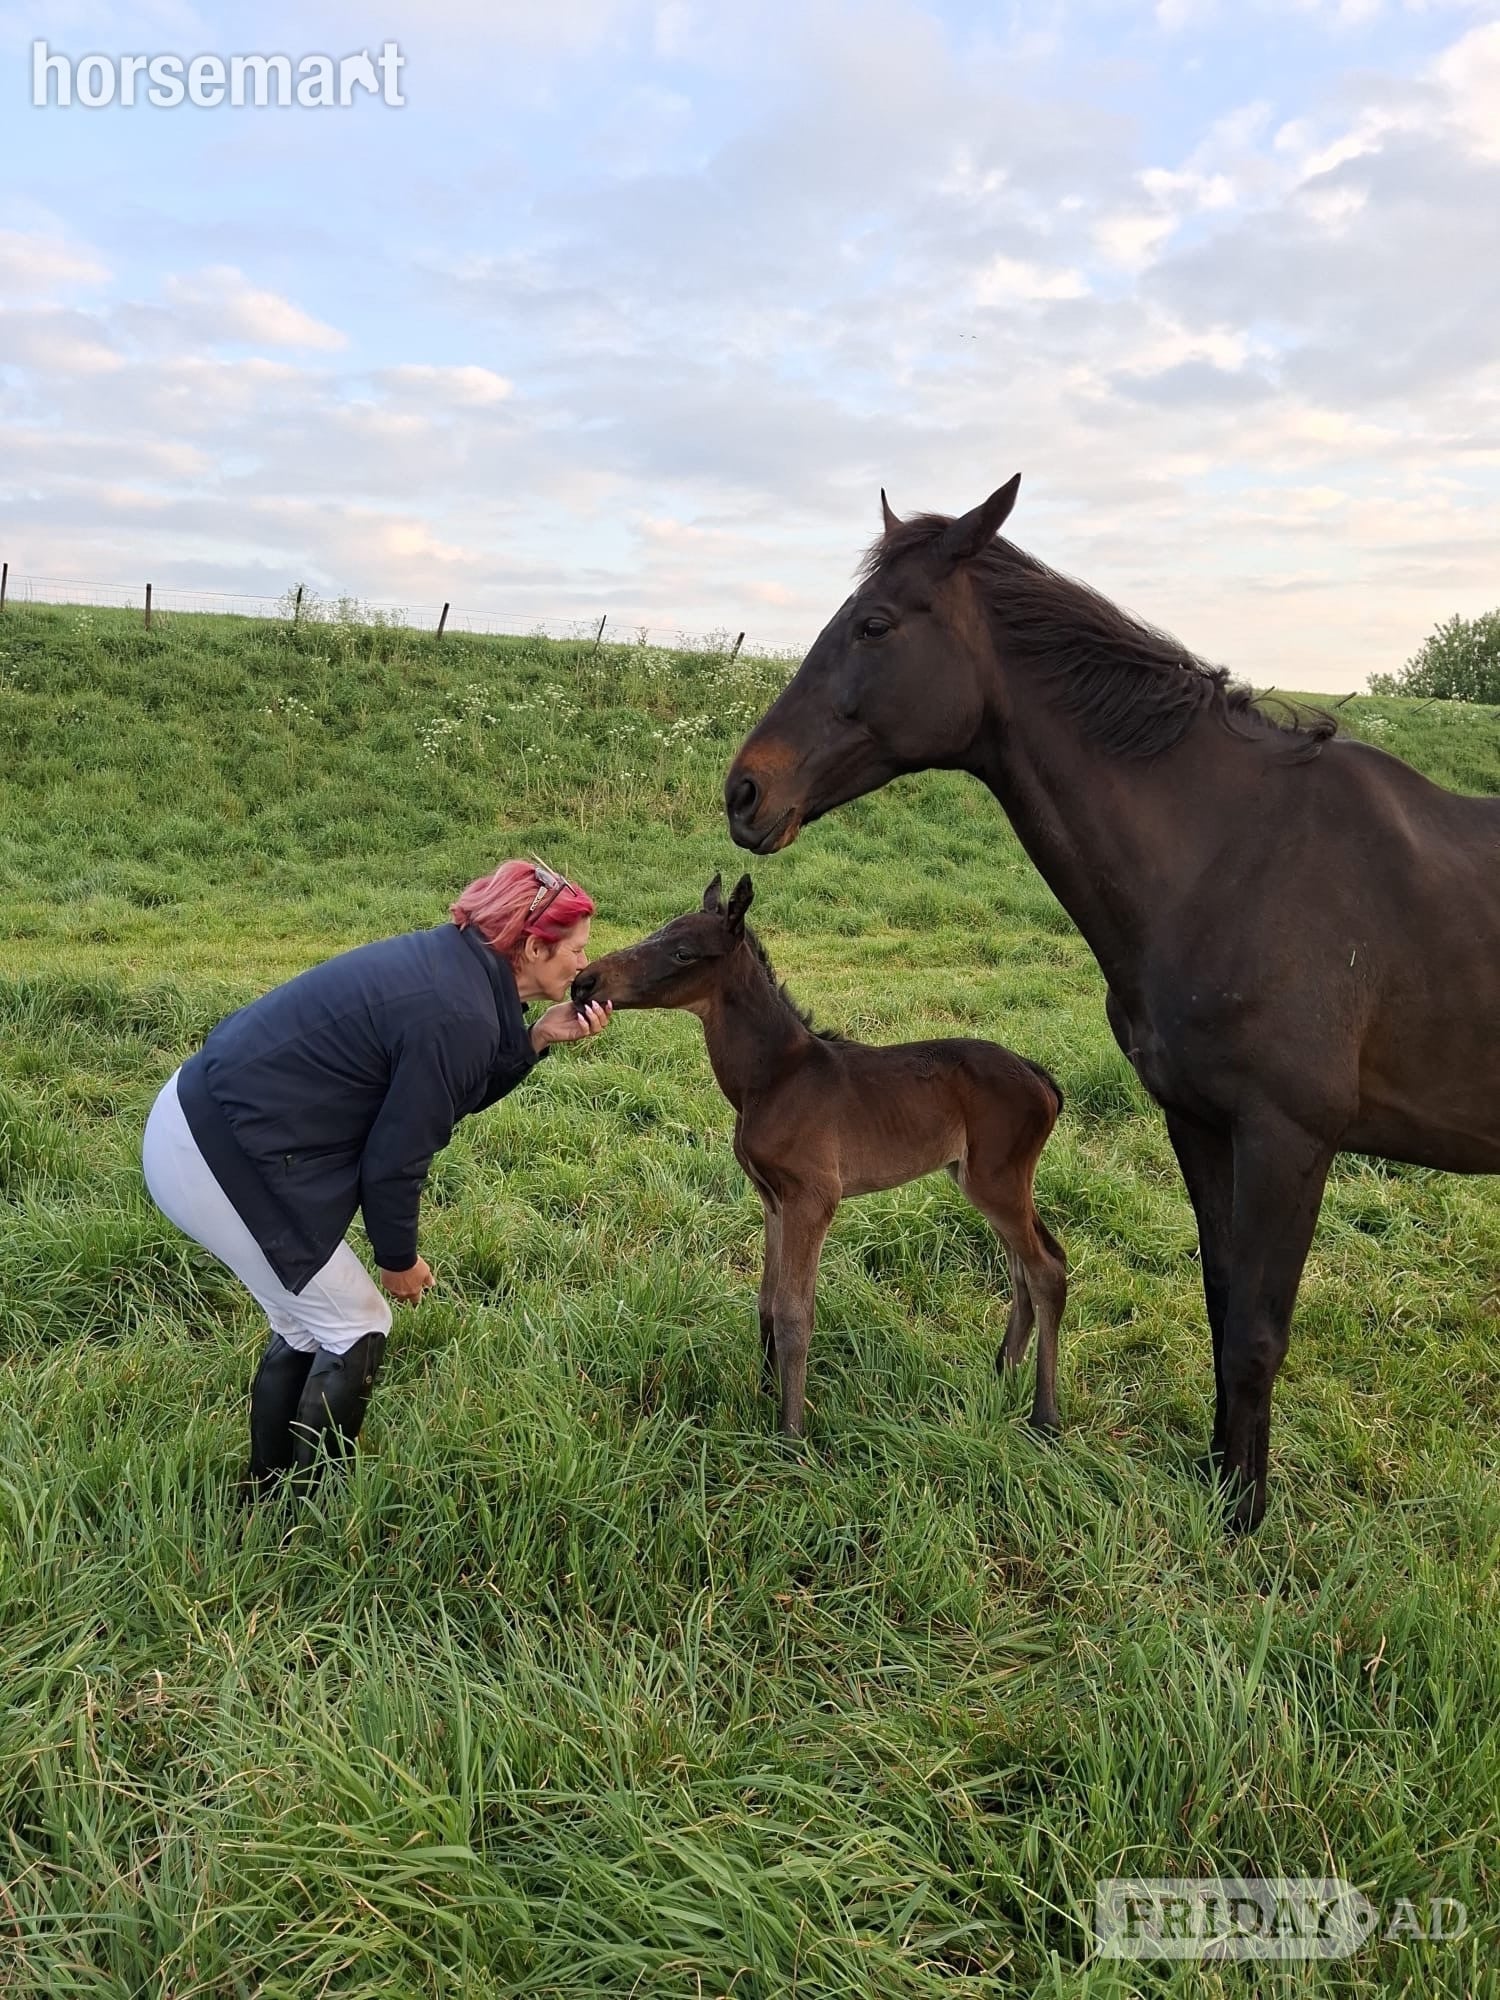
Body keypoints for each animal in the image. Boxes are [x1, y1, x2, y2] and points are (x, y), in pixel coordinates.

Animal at [570, 874, 1067, 1439]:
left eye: (682, 952)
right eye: (659, 930)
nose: (584, 983)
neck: (773, 1078)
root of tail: (1040, 1077)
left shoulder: (813, 1197)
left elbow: (794, 1313)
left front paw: (790, 1434)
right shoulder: (772, 1198)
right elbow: (766, 1302)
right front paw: (764, 1394)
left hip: (997, 1180)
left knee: (1046, 1271)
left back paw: (1044, 1415)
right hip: (980, 1180)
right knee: (1024, 1270)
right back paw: (1001, 1374)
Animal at [723, 475, 1500, 1532]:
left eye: (874, 624)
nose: (743, 792)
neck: (1236, 856)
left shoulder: (1289, 1138)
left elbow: (1258, 1331)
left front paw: (1244, 1522)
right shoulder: (1200, 1124)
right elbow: (1223, 1302)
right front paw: (1219, 1477)